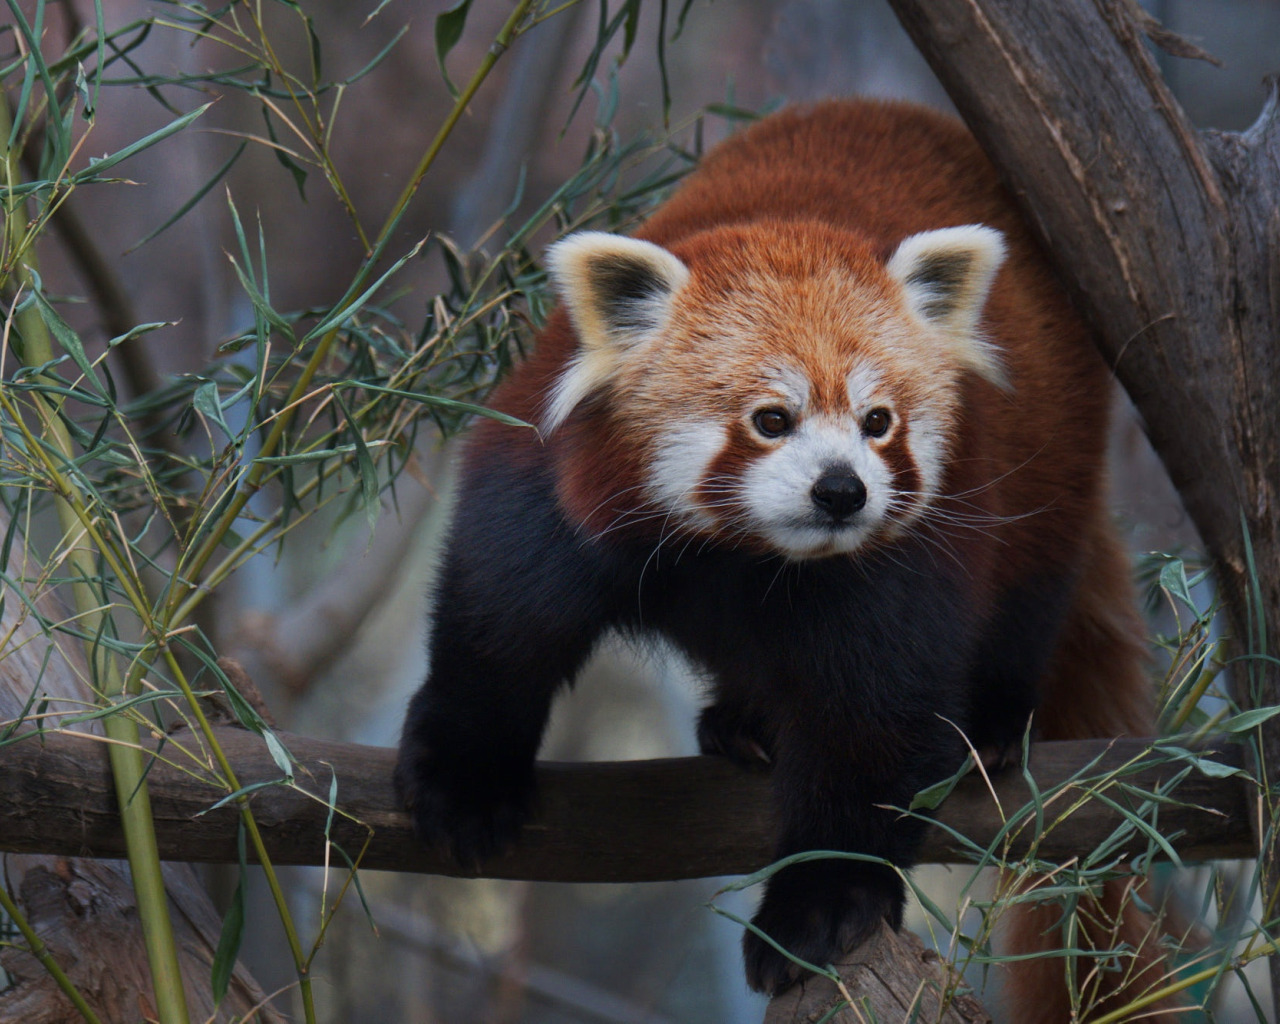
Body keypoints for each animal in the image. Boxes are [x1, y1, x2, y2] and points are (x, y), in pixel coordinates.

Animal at [399, 99, 1172, 1013]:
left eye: (878, 421)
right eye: (772, 419)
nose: (842, 491)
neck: (741, 553)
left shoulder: (904, 563)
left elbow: (871, 720)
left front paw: (818, 908)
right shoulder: (554, 489)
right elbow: (502, 619)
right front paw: (467, 777)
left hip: (1051, 463)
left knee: (1028, 589)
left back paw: (985, 726)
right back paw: (742, 722)